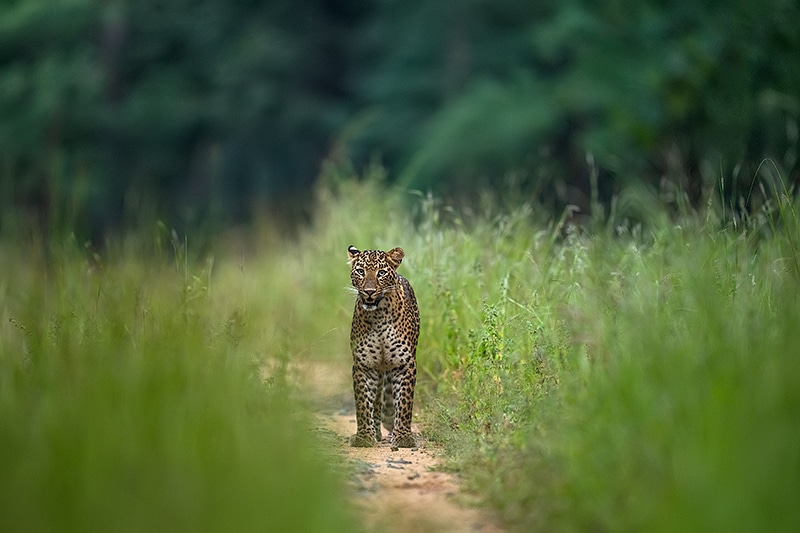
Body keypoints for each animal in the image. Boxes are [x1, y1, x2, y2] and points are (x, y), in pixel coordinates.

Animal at [346, 246, 422, 448]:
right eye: (360, 271)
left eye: (381, 273)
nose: (369, 291)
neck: (378, 315)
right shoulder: (364, 365)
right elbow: (363, 402)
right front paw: (364, 436)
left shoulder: (404, 363)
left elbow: (404, 402)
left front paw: (403, 436)